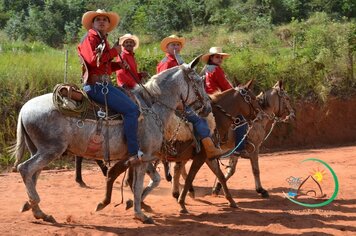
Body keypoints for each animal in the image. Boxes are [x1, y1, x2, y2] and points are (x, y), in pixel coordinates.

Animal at [11, 55, 211, 223]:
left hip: (38, 150)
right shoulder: (143, 157)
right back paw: (37, 207)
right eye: (199, 81)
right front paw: (139, 213)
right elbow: (138, 186)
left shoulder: (141, 157)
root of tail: (25, 108)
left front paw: (131, 204)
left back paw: (36, 209)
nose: (208, 106)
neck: (152, 107)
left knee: (33, 174)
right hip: (50, 150)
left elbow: (152, 180)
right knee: (25, 169)